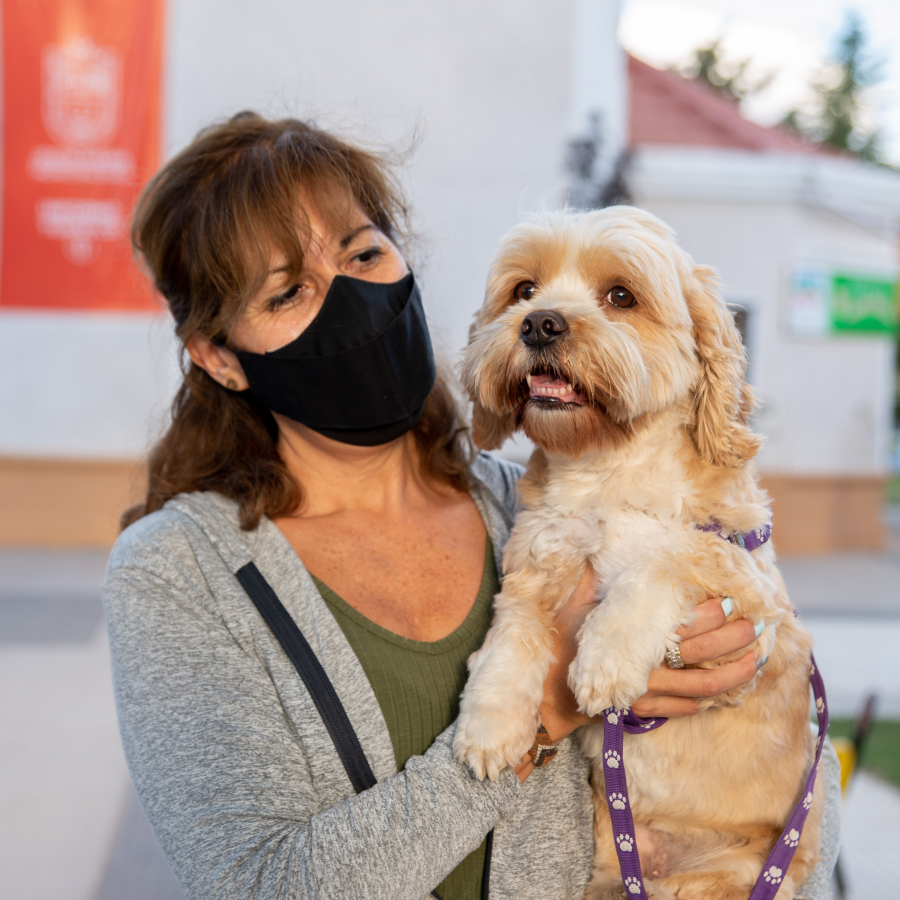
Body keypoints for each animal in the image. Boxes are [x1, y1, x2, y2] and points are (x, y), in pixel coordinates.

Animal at [458, 207, 824, 896]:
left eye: (621, 296)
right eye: (524, 289)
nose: (539, 322)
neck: (610, 473)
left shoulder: (752, 599)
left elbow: (669, 557)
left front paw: (606, 656)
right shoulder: (534, 563)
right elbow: (512, 639)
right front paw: (489, 722)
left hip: (732, 876)